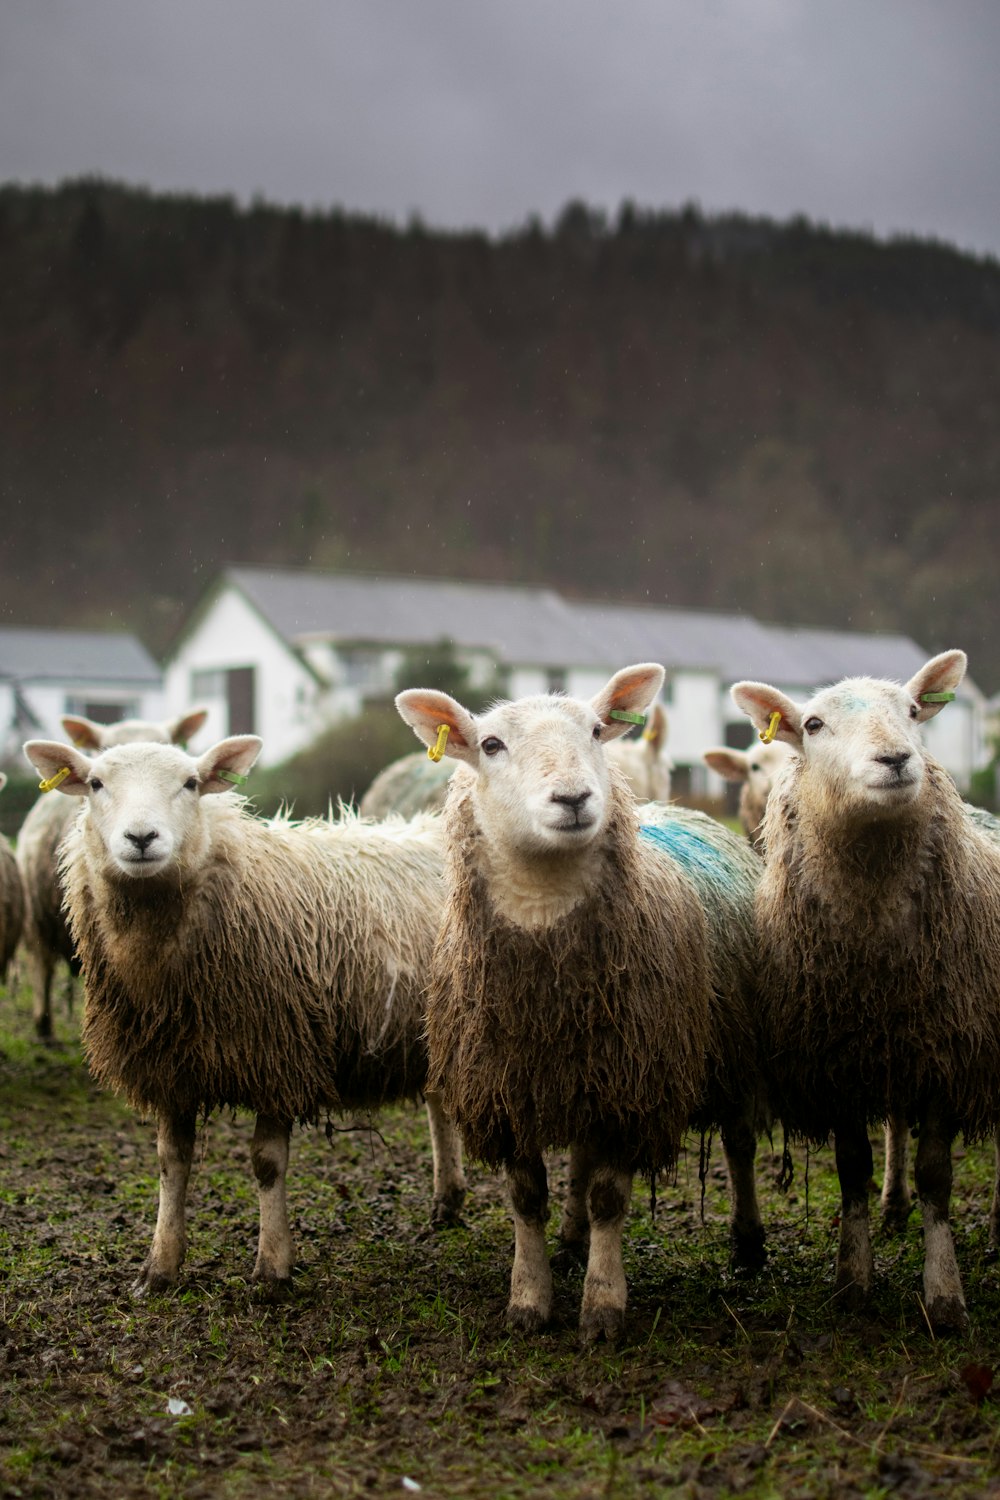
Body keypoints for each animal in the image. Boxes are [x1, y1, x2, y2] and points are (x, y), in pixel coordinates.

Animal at [395, 669, 761, 1350]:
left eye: (595, 731)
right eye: (490, 745)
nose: (573, 798)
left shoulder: (634, 1087)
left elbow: (611, 1199)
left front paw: (603, 1306)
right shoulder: (510, 1090)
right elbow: (525, 1197)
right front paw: (529, 1297)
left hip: (732, 1052)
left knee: (740, 1144)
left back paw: (749, 1246)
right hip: (588, 1074)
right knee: (584, 1162)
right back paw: (570, 1240)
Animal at [728, 651, 1000, 1332]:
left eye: (913, 710)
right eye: (813, 724)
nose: (896, 759)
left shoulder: (949, 1051)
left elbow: (938, 1176)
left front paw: (944, 1294)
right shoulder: (838, 1059)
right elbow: (852, 1167)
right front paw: (853, 1279)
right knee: (896, 1124)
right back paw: (893, 1206)